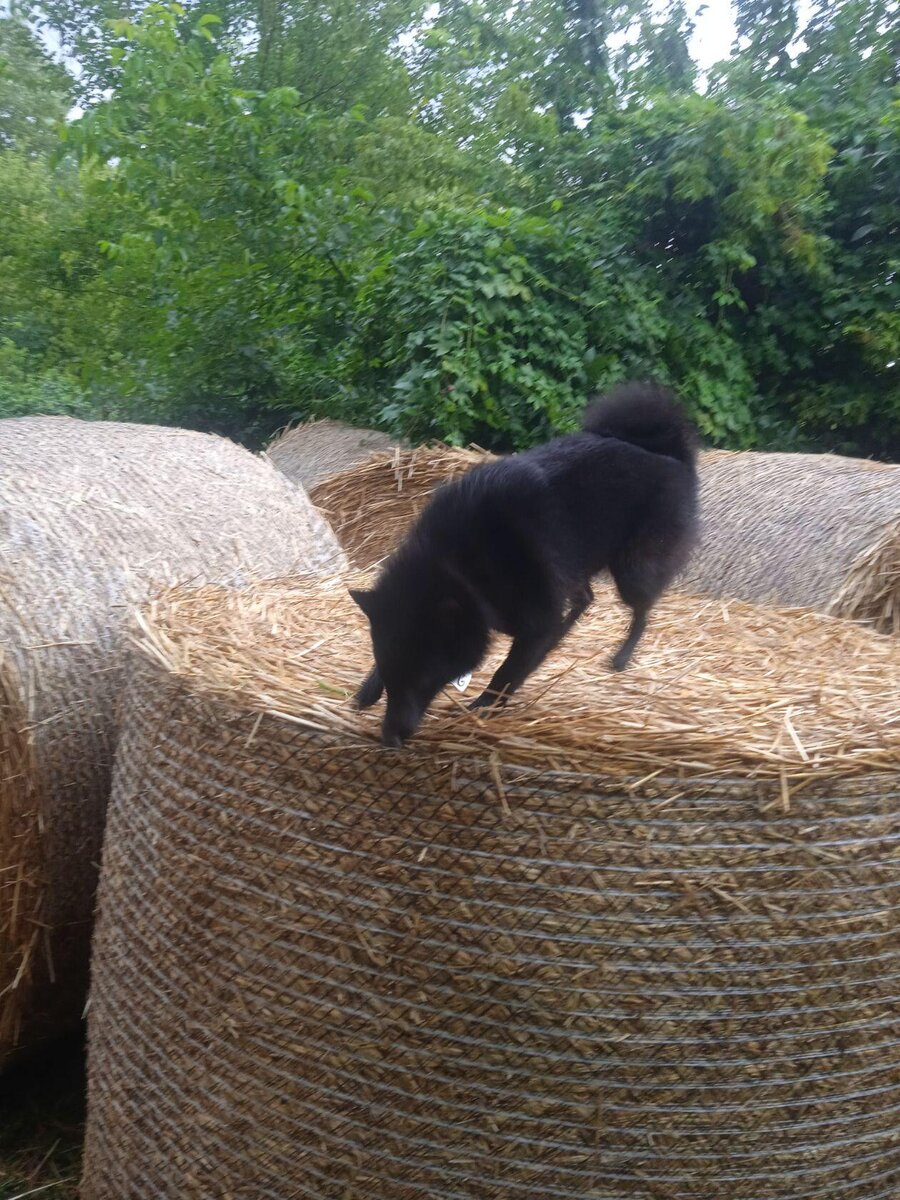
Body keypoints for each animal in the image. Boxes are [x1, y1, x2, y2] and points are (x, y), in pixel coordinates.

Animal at [350, 381, 696, 739]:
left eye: (424, 676)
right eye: (390, 673)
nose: (390, 737)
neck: (463, 566)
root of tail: (669, 455)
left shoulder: (536, 616)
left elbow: (507, 672)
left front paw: (483, 707)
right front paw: (368, 688)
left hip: (633, 570)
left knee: (641, 612)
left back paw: (622, 657)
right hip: (573, 564)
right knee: (584, 600)